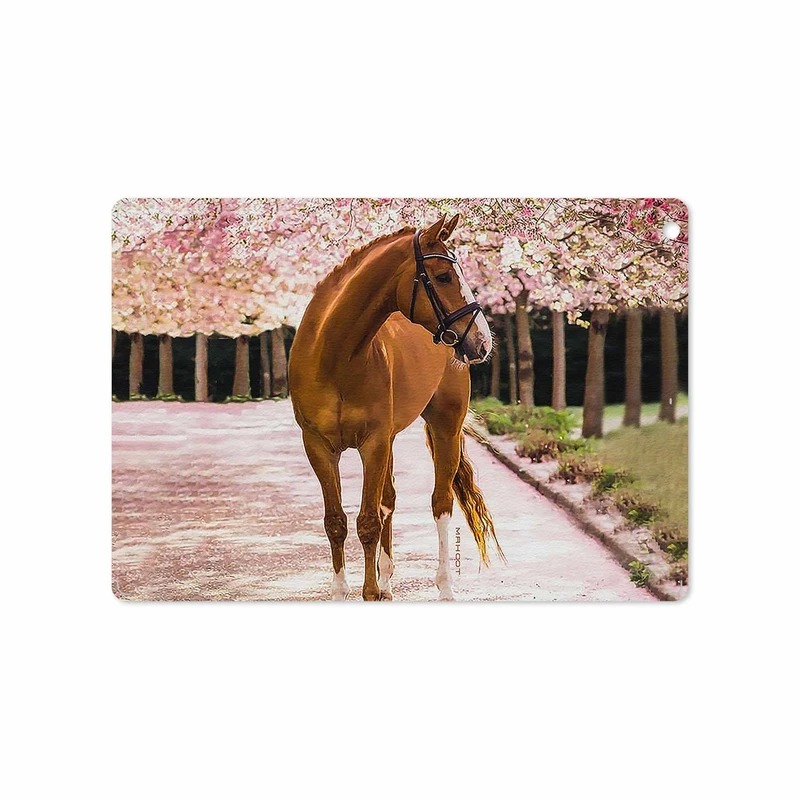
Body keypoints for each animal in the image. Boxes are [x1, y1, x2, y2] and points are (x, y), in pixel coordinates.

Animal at [288, 214, 503, 600]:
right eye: (444, 276)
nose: (481, 341)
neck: (334, 357)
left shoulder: (372, 443)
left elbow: (368, 521)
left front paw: (370, 592)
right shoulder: (319, 446)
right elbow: (336, 521)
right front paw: (345, 591)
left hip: (444, 428)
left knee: (440, 503)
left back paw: (443, 587)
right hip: (388, 440)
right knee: (388, 499)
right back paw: (387, 578)